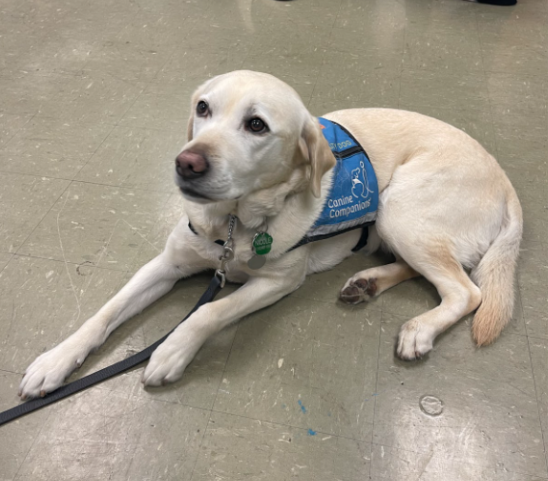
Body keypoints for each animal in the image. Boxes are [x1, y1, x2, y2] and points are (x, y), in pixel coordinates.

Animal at [18, 68, 524, 398]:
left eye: (256, 124)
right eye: (203, 108)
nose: (187, 162)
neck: (232, 224)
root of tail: (506, 182)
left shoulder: (278, 281)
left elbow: (208, 312)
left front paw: (172, 349)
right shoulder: (167, 263)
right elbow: (104, 312)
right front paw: (55, 360)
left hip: (400, 209)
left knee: (466, 291)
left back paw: (420, 329)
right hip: (393, 224)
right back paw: (366, 283)